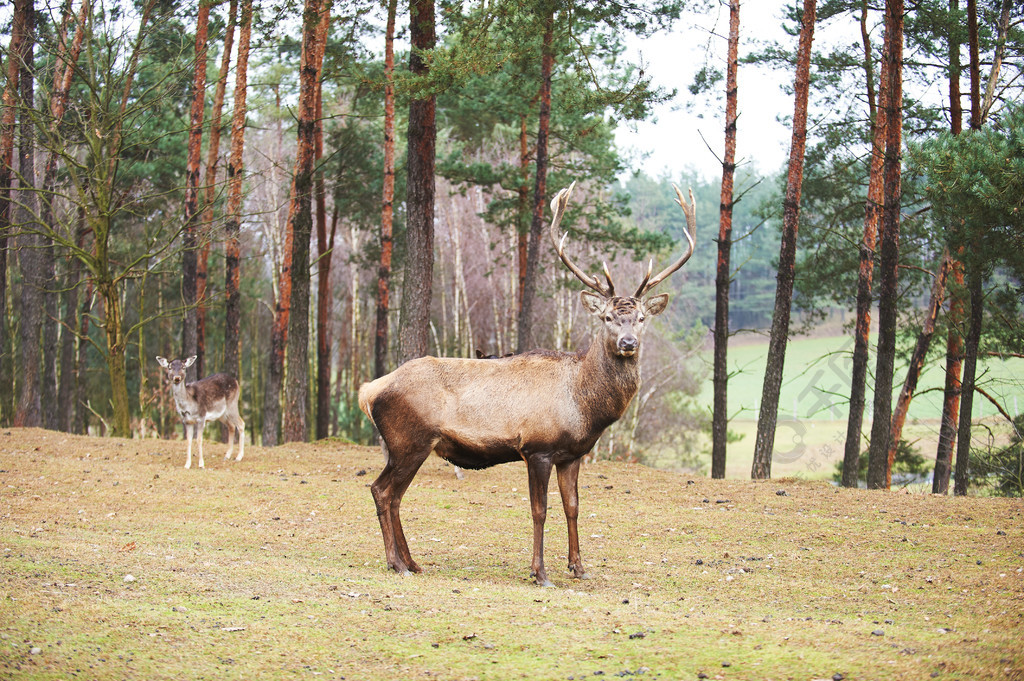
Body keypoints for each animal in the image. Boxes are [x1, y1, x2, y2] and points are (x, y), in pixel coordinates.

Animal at [358, 182, 696, 585]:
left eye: (642, 318)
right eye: (609, 317)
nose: (628, 343)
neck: (584, 406)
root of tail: (369, 391)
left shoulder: (572, 454)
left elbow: (573, 506)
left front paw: (579, 567)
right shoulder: (537, 448)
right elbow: (540, 510)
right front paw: (540, 572)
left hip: (407, 445)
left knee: (392, 495)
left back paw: (411, 562)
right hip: (409, 440)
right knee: (382, 491)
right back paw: (396, 563)